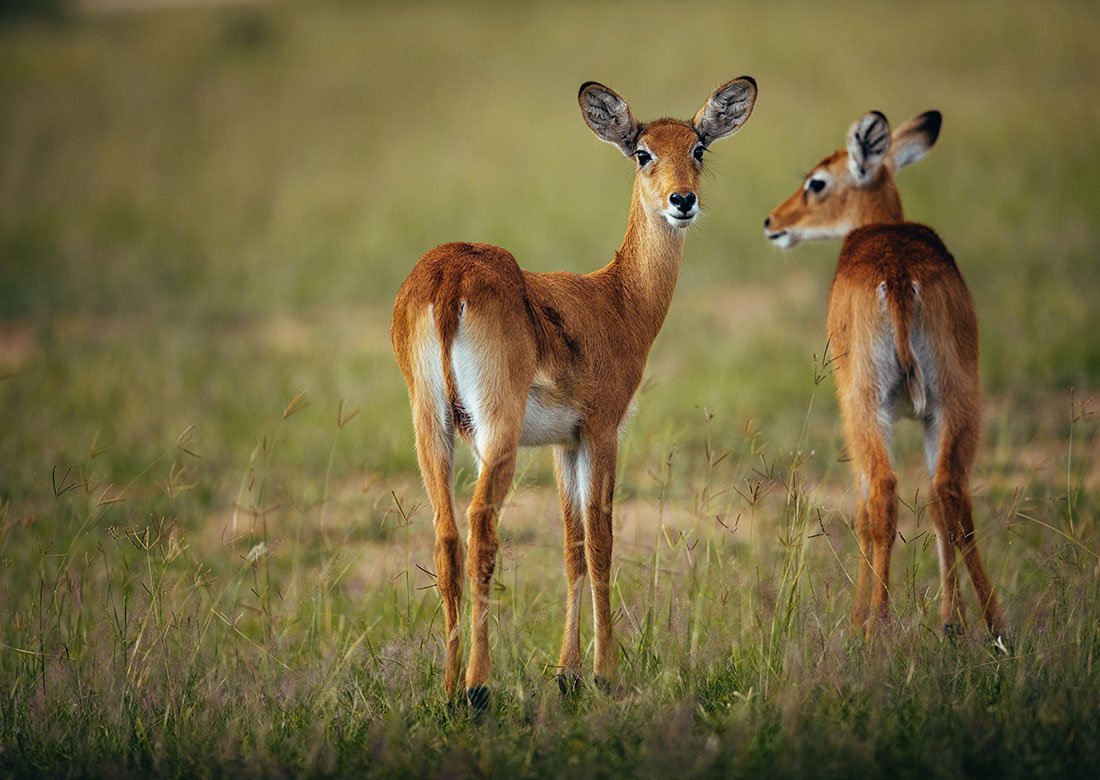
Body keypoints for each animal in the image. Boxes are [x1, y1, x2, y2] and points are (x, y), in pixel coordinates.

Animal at [391, 78, 757, 708]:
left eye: (698, 147)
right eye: (642, 152)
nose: (682, 200)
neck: (618, 302)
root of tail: (446, 279)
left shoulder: (564, 444)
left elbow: (571, 546)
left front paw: (567, 673)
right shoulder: (603, 431)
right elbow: (602, 540)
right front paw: (605, 673)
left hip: (432, 427)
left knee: (445, 535)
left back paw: (448, 688)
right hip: (496, 431)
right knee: (482, 525)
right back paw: (478, 689)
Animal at [764, 110, 1005, 640]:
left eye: (817, 181)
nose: (772, 222)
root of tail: (897, 276)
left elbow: (861, 510)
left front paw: (859, 618)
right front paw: (952, 621)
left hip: (867, 407)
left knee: (883, 494)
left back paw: (876, 626)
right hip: (955, 403)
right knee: (949, 494)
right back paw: (992, 626)